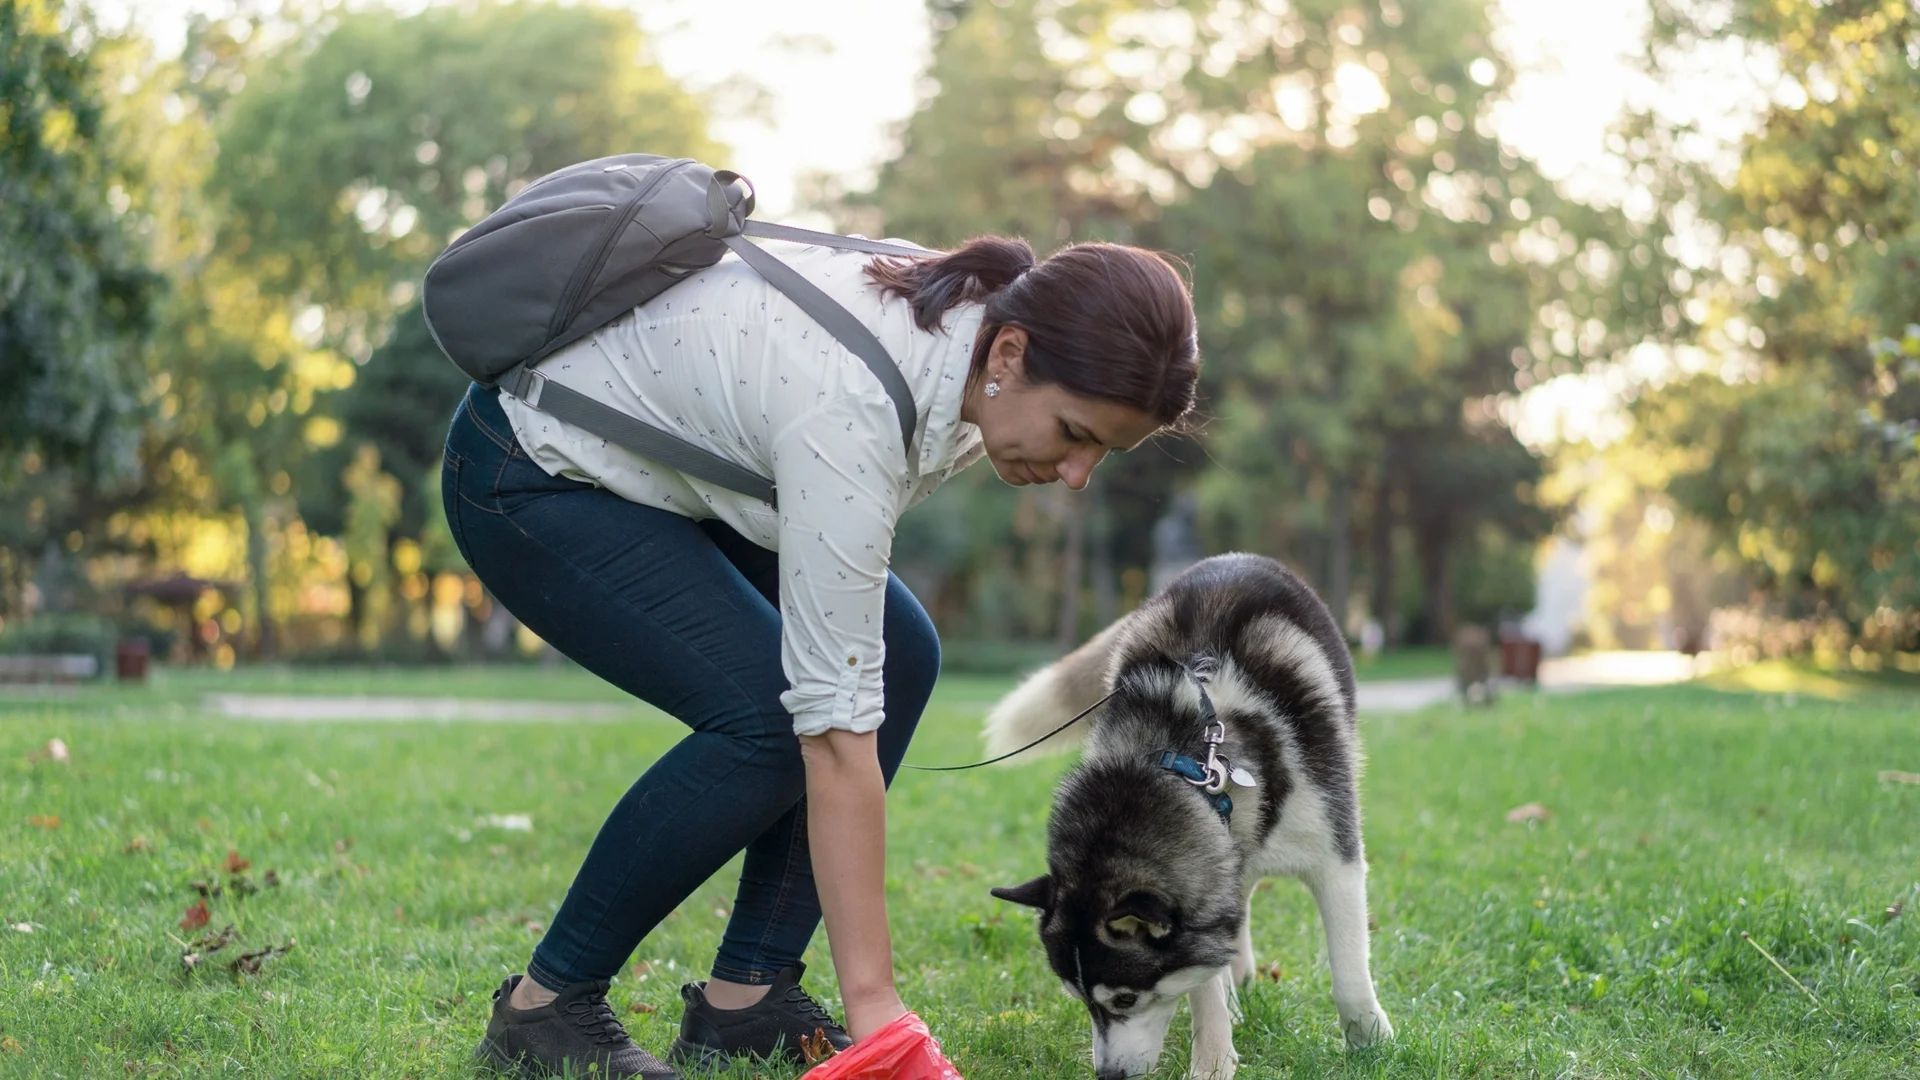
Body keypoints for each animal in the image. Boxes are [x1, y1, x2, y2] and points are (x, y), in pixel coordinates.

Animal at [990, 549, 1397, 1068]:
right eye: (1081, 1001)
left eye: (1125, 999)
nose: (1110, 1076)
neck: (1189, 761)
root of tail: (1233, 556)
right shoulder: (1210, 888)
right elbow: (1204, 982)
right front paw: (1214, 1060)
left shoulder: (1335, 857)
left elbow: (1348, 968)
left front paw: (1370, 1041)